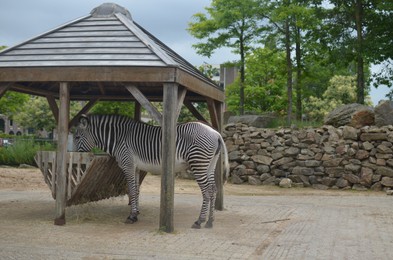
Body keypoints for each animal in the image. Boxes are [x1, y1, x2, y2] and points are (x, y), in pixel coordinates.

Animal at [72, 115, 230, 229]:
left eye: (77, 137)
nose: (74, 157)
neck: (119, 139)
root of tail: (216, 133)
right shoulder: (136, 167)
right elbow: (135, 191)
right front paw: (136, 213)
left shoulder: (128, 165)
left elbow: (131, 190)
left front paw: (131, 217)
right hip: (210, 164)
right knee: (213, 189)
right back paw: (210, 222)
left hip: (198, 163)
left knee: (207, 191)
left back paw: (199, 221)